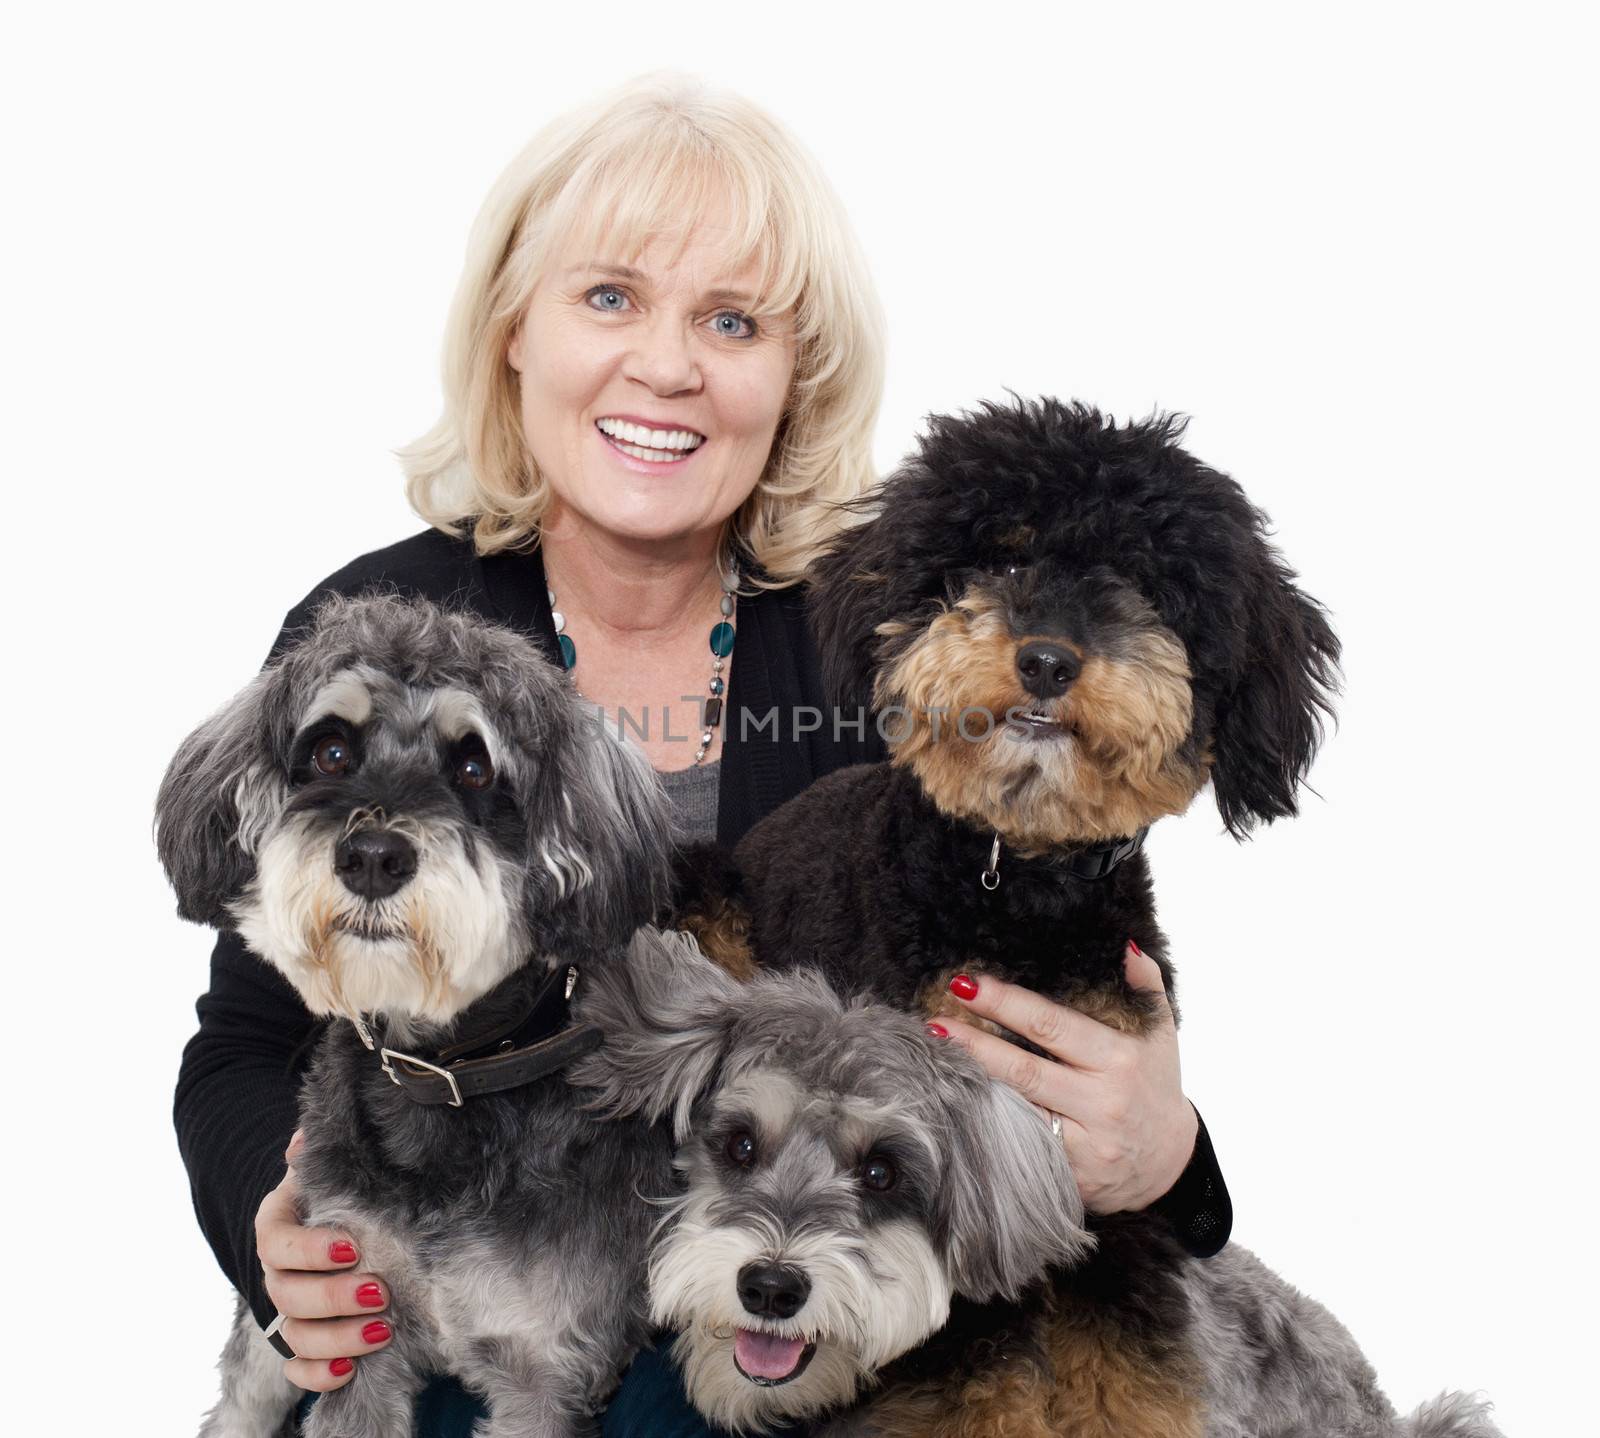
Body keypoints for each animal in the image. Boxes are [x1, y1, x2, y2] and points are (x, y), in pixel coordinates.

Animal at [160, 595, 681, 1438]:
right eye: (331, 751)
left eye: (474, 767)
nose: (372, 857)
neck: (448, 1073)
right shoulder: (355, 1335)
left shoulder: (545, 1376)